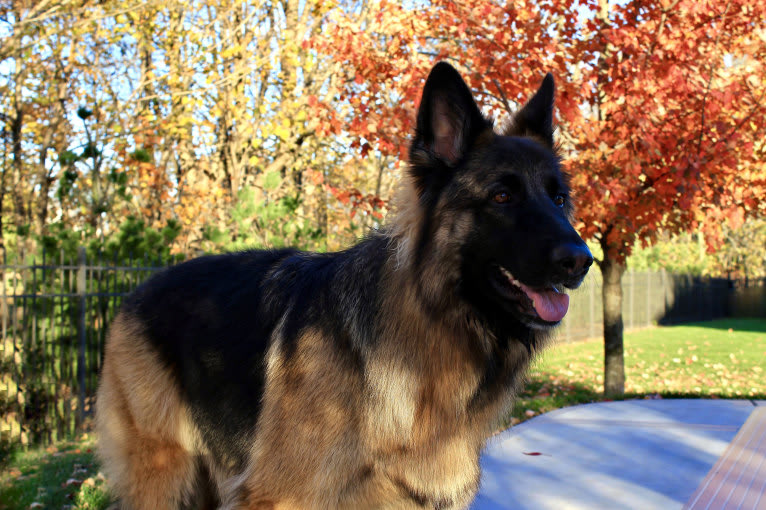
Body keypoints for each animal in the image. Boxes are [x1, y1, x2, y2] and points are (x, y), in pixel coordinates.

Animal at [97, 61, 592, 508]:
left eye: (559, 198)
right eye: (502, 196)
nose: (581, 261)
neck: (430, 326)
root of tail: (141, 287)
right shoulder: (279, 496)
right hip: (164, 474)